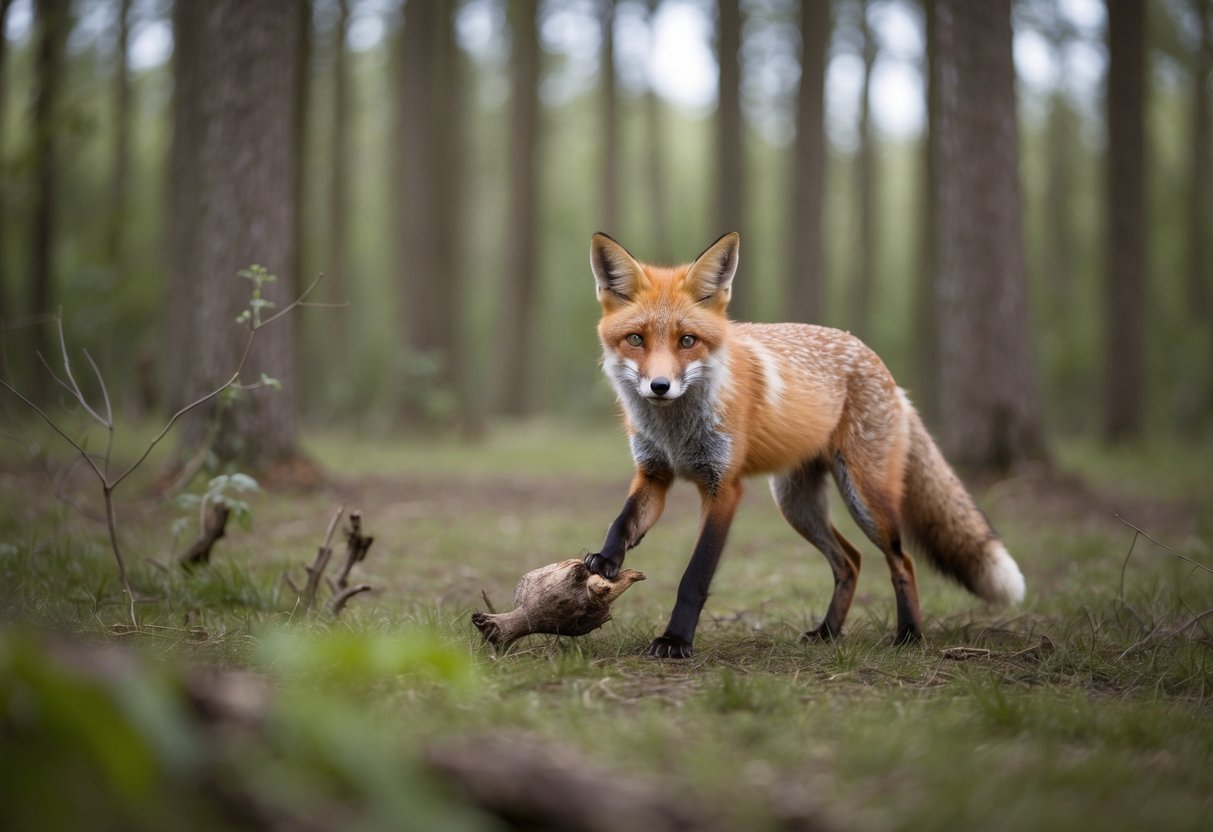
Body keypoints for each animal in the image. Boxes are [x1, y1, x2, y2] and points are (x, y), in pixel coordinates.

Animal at [583, 231, 1025, 659]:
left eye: (687, 340)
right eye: (636, 339)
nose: (660, 386)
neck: (675, 433)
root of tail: (882, 368)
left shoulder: (723, 487)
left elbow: (695, 575)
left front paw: (676, 640)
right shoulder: (654, 474)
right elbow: (622, 521)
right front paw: (605, 560)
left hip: (865, 498)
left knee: (903, 560)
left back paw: (910, 635)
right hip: (797, 504)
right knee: (850, 561)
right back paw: (828, 631)